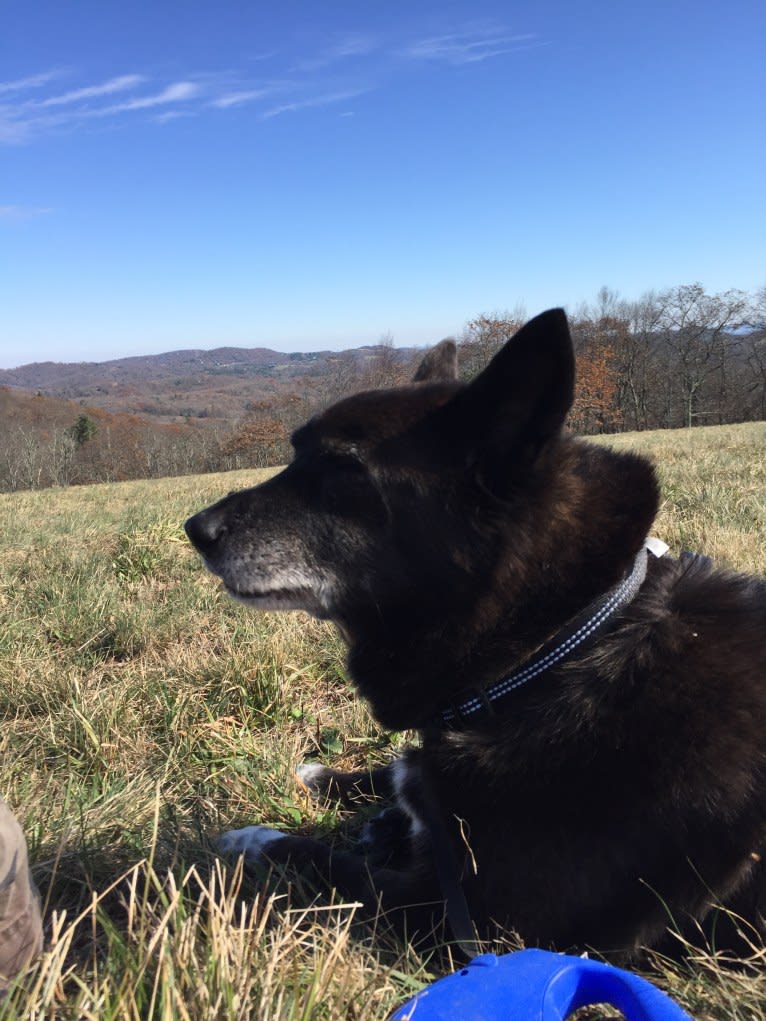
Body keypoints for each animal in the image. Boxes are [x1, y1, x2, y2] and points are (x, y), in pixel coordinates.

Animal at [185, 306, 766, 959]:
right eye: (294, 454)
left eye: (342, 469)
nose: (195, 529)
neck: (557, 650)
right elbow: (399, 771)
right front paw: (331, 779)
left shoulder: (473, 923)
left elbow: (329, 862)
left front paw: (254, 841)